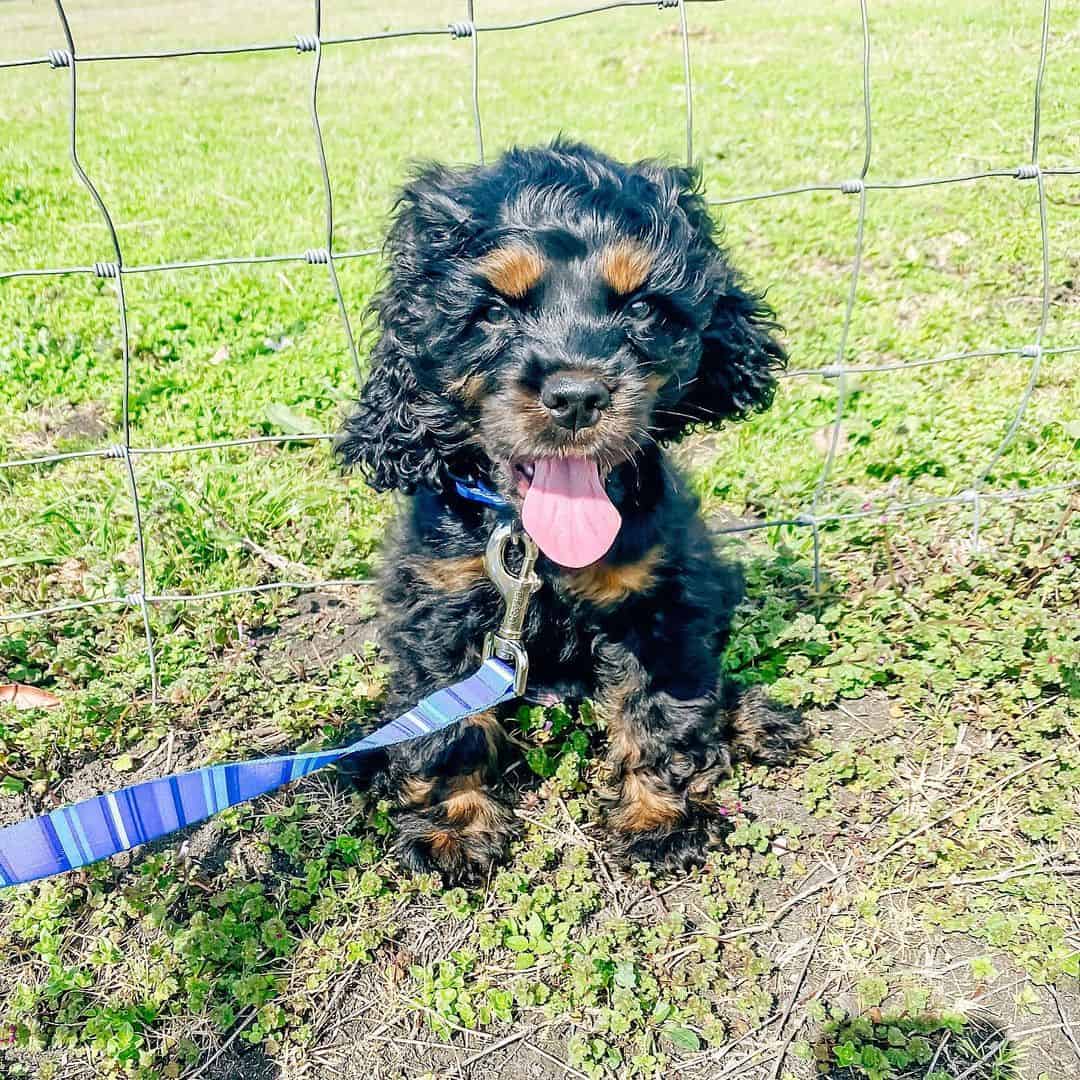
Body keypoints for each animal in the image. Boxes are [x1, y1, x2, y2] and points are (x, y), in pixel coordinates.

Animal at [336, 139, 803, 881]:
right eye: (493, 312)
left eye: (641, 309)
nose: (578, 395)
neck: (535, 543)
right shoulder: (439, 605)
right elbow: (450, 727)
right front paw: (453, 829)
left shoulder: (656, 601)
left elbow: (659, 706)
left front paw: (657, 820)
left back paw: (756, 718)